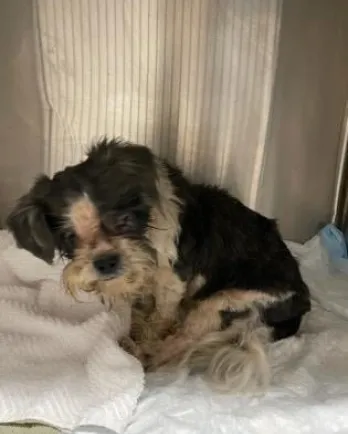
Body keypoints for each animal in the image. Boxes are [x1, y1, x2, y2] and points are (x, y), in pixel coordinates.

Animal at [6, 139, 310, 394]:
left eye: (124, 221)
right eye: (70, 238)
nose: (105, 261)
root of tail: (299, 307)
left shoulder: (171, 283)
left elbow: (160, 318)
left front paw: (143, 339)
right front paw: (136, 326)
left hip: (226, 301)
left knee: (185, 338)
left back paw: (145, 354)